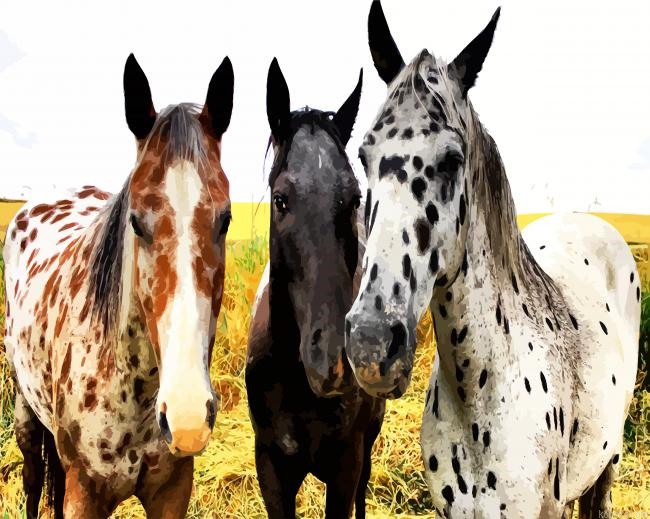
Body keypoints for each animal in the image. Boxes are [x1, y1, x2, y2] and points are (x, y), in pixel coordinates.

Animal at [4, 54, 234, 518]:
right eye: (136, 221)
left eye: (225, 219)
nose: (186, 417)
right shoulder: (83, 495)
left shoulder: (172, 492)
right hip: (24, 408)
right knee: (34, 478)